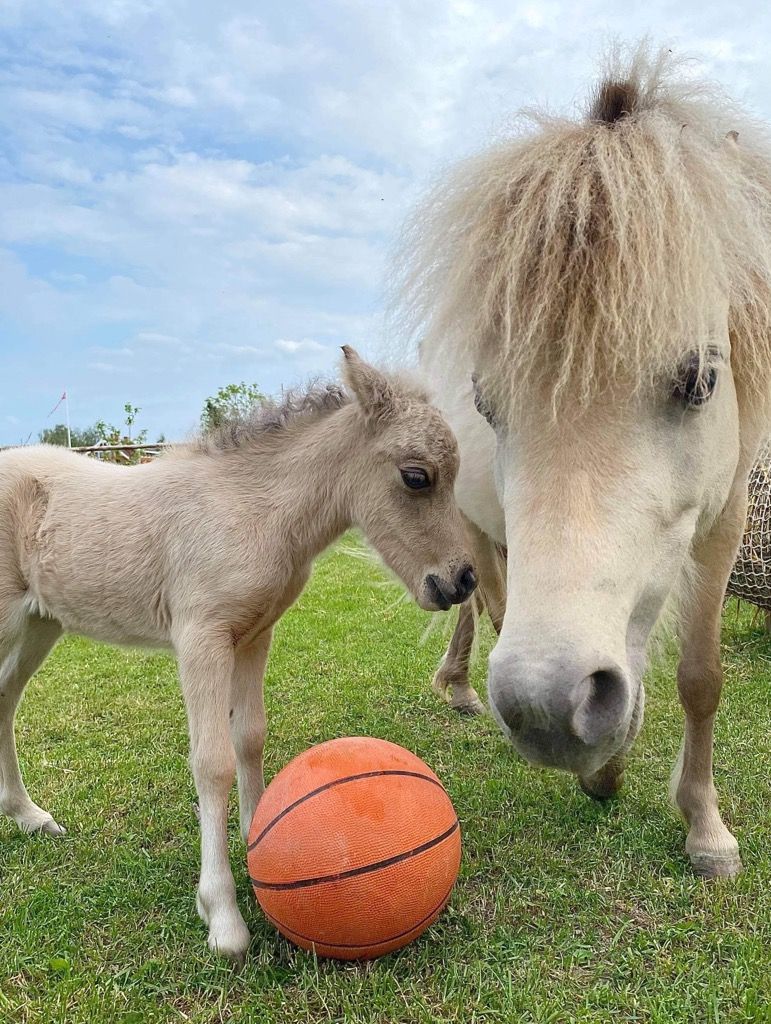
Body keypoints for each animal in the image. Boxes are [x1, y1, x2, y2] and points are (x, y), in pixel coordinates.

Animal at [0, 347, 477, 959]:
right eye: (416, 476)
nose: (462, 580)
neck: (252, 509)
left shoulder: (254, 636)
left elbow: (250, 735)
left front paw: (256, 842)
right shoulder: (201, 638)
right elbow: (213, 761)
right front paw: (222, 915)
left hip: (41, 624)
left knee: (5, 701)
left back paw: (29, 816)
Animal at [396, 44, 771, 879]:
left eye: (700, 380)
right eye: (486, 401)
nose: (543, 708)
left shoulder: (721, 525)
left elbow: (700, 677)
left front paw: (705, 829)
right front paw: (605, 772)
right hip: (476, 526)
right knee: (483, 603)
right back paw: (461, 687)